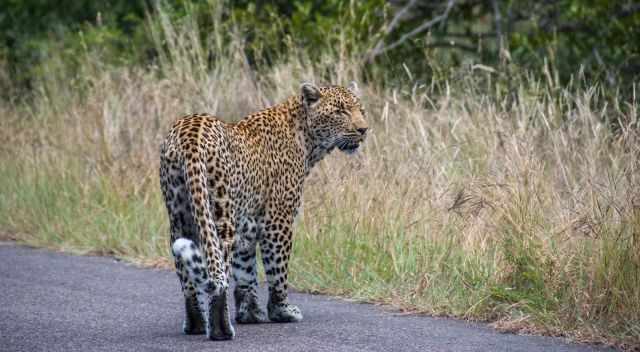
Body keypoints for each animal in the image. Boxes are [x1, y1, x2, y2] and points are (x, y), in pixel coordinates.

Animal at [159, 81, 370, 340]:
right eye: (340, 111)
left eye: (361, 110)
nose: (363, 129)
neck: (308, 141)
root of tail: (190, 132)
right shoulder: (279, 220)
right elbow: (277, 270)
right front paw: (282, 311)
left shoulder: (248, 224)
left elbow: (246, 272)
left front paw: (250, 314)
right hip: (220, 215)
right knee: (219, 272)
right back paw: (221, 330)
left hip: (180, 216)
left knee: (188, 278)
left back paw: (196, 325)